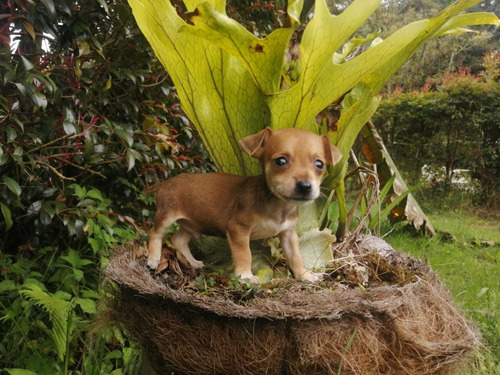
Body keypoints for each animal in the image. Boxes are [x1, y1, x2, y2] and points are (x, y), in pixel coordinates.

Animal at [148, 128, 342, 284]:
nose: (305, 186)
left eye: (319, 164)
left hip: (193, 224)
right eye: (280, 161)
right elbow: (245, 254)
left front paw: (304, 275)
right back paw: (153, 259)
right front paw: (245, 276)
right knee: (155, 233)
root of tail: (163, 184)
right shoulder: (238, 230)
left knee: (178, 240)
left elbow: (296, 256)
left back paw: (193, 262)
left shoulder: (288, 234)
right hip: (166, 216)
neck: (279, 206)